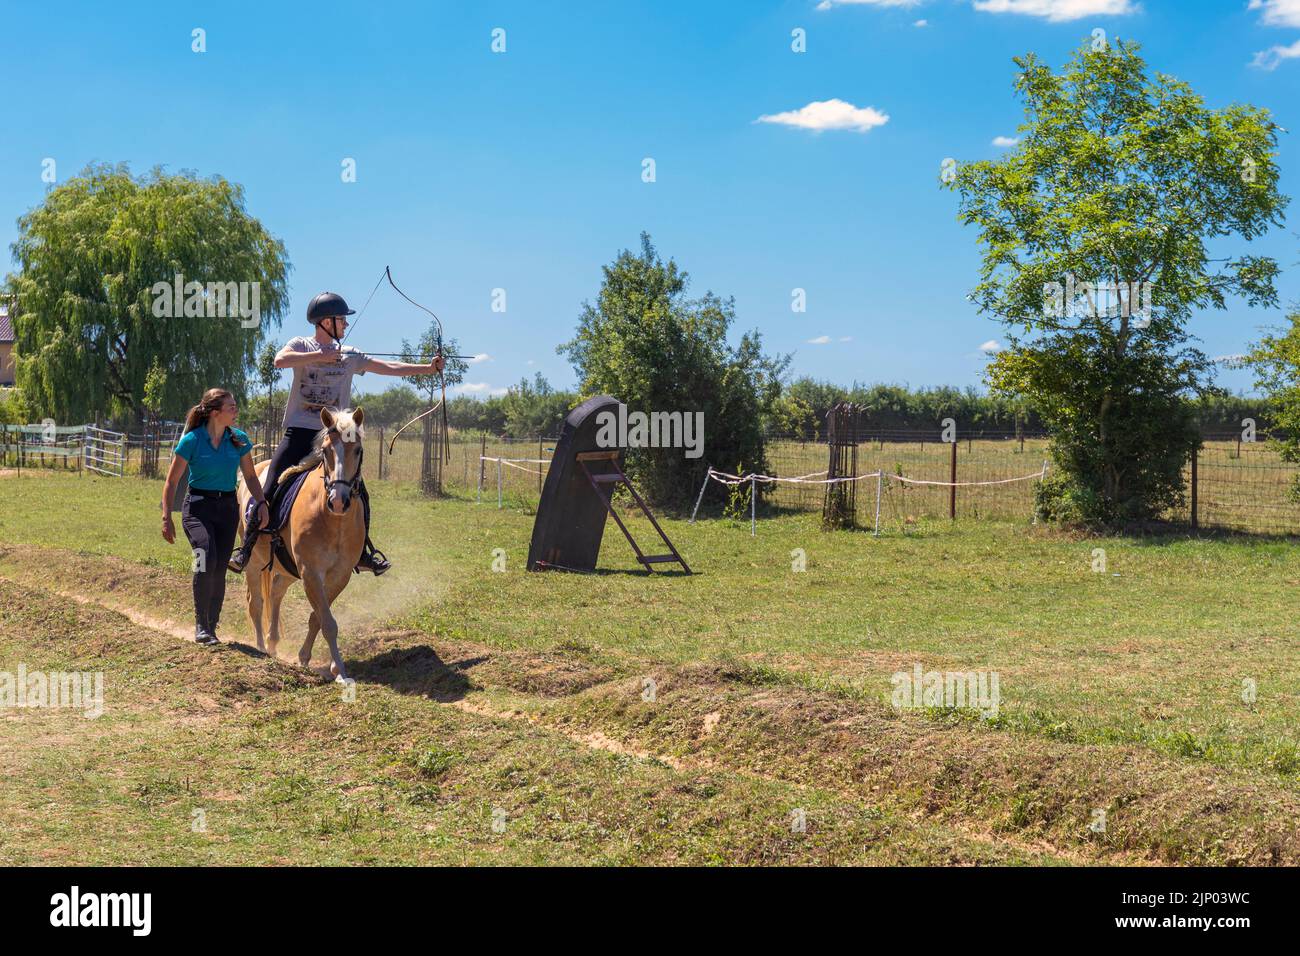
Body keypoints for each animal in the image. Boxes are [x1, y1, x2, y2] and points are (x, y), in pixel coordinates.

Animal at [237, 408, 366, 686]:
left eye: (358, 450)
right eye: (326, 450)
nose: (338, 501)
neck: (333, 520)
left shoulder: (339, 575)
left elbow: (318, 617)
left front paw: (308, 658)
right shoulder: (310, 571)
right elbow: (328, 622)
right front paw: (340, 671)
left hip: (288, 568)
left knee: (276, 591)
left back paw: (273, 641)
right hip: (254, 561)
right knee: (256, 603)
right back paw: (261, 647)